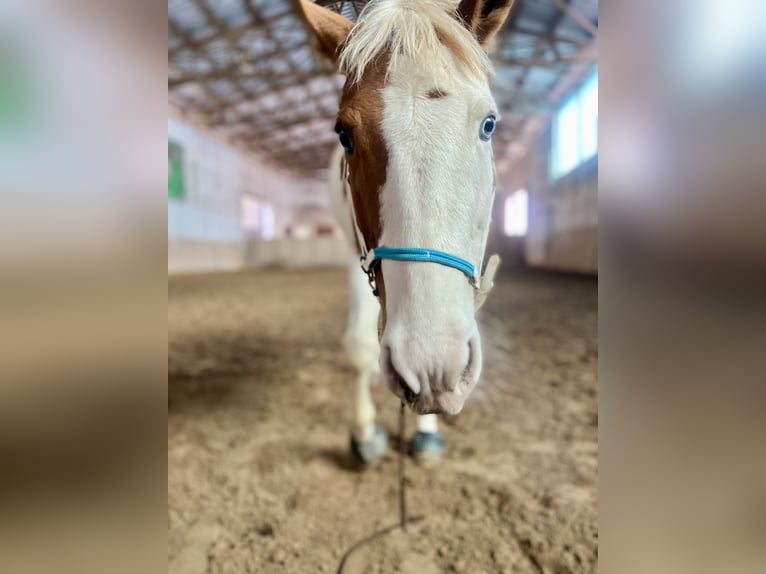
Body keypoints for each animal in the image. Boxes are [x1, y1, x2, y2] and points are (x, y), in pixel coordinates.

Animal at [298, 0, 511, 465]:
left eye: (489, 124)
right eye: (344, 133)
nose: (432, 369)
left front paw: (426, 432)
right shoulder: (356, 252)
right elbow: (359, 347)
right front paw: (364, 433)